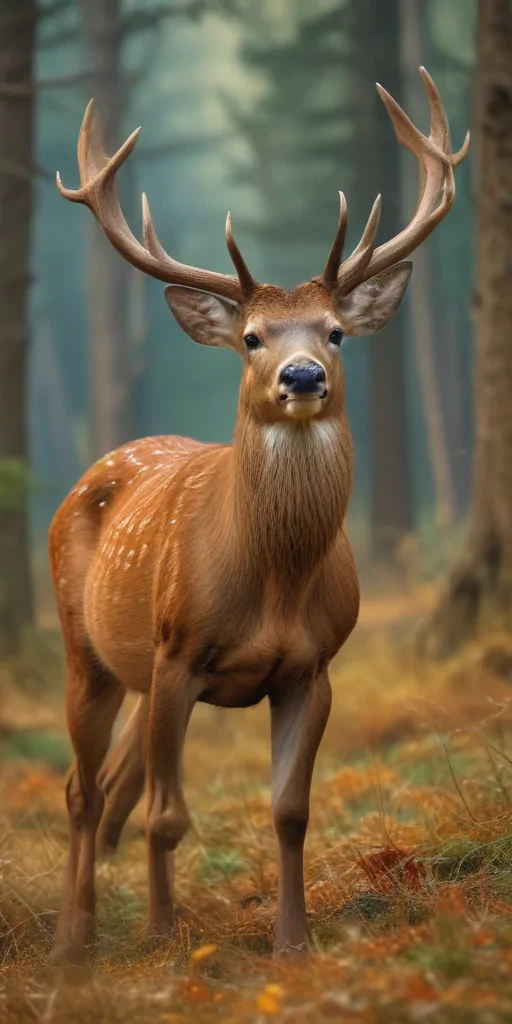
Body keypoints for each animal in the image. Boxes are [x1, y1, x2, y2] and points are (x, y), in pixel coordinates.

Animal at [49, 67, 469, 964]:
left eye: (337, 332)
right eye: (250, 337)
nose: (302, 375)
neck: (270, 584)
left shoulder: (313, 666)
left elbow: (290, 811)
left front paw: (293, 943)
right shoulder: (177, 652)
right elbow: (168, 817)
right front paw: (164, 940)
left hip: (134, 674)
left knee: (110, 784)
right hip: (87, 651)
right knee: (83, 788)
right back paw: (74, 939)